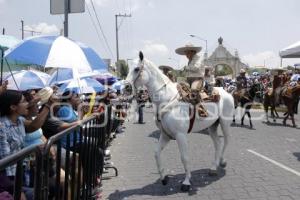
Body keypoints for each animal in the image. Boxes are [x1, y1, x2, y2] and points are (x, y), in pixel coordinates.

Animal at [126, 52, 234, 191]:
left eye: (136, 69)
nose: (126, 87)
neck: (167, 99)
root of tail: (226, 92)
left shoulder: (180, 135)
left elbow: (184, 158)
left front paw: (186, 182)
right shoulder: (165, 135)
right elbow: (156, 154)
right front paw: (164, 178)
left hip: (225, 123)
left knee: (226, 141)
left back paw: (222, 161)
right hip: (212, 126)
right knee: (218, 144)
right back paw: (213, 168)